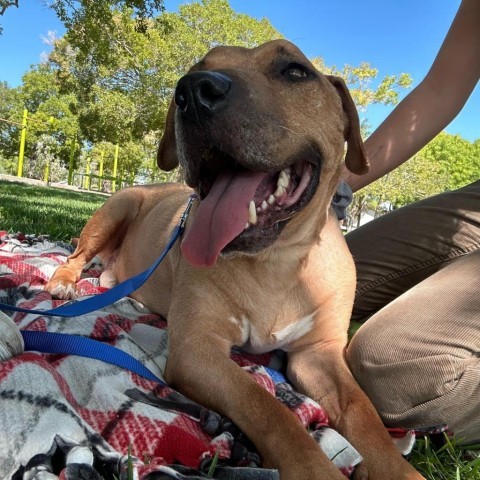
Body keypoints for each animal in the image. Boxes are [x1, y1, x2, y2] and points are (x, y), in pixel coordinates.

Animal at [44, 39, 420, 478]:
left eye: (296, 71)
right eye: (199, 67)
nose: (193, 91)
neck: (277, 262)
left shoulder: (319, 354)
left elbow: (363, 410)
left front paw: (396, 467)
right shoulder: (197, 347)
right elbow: (268, 406)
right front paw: (312, 466)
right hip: (119, 205)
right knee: (75, 255)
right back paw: (64, 282)